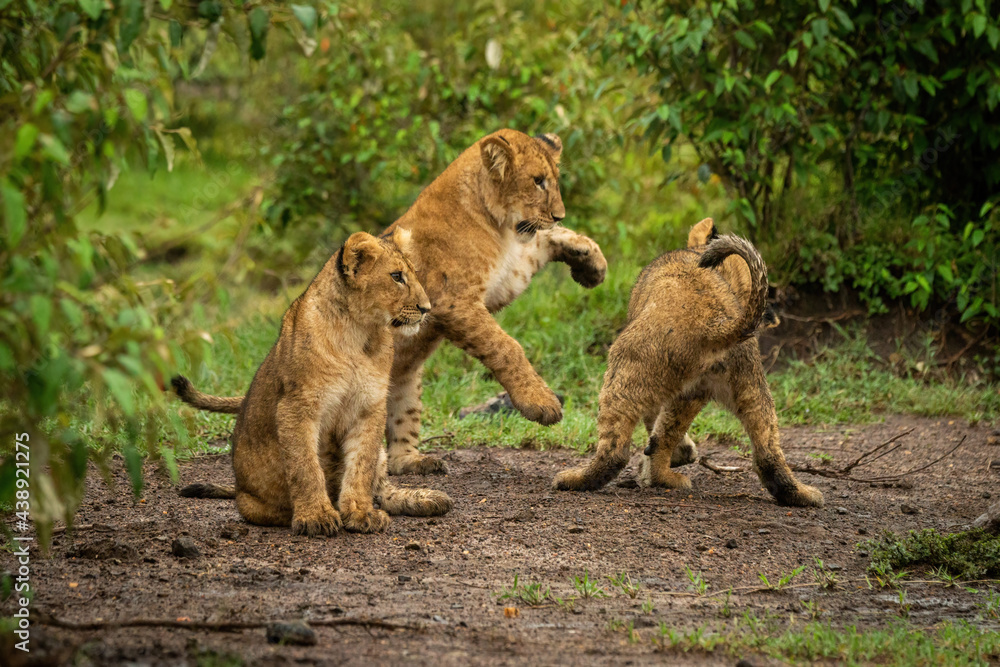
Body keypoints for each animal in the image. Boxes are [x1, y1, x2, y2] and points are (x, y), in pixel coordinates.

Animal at [173, 229, 453, 536]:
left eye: (412, 274)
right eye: (396, 276)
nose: (426, 308)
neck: (358, 334)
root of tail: (238, 491)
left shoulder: (370, 407)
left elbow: (361, 465)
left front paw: (360, 512)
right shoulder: (297, 406)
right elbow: (305, 466)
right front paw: (316, 516)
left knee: (382, 487)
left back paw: (425, 499)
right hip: (251, 503)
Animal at [175, 129, 610, 476]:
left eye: (553, 181)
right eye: (538, 181)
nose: (559, 212)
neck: (496, 222)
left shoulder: (506, 275)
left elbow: (551, 241)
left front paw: (592, 265)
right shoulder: (454, 302)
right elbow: (506, 346)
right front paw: (540, 403)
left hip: (403, 386)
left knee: (400, 431)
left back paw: (416, 462)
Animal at [552, 219, 824, 508]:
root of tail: (717, 325)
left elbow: (653, 421)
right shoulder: (693, 393)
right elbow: (665, 429)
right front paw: (681, 455)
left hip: (627, 363)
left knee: (617, 448)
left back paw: (576, 479)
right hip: (748, 387)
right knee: (766, 449)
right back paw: (800, 494)